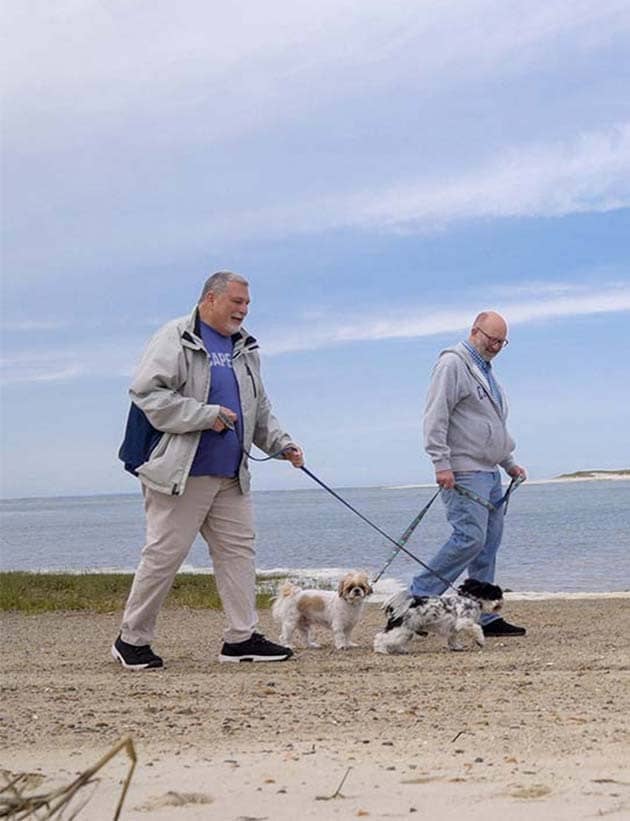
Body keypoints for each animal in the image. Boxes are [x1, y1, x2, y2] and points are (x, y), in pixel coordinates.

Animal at [376, 576, 504, 652]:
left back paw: (400, 649)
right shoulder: (464, 622)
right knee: (381, 637)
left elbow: (453, 638)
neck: (471, 599)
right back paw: (381, 649)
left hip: (405, 631)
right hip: (402, 629)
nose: (501, 601)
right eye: (495, 594)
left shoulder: (453, 628)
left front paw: (456, 647)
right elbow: (477, 629)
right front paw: (480, 641)